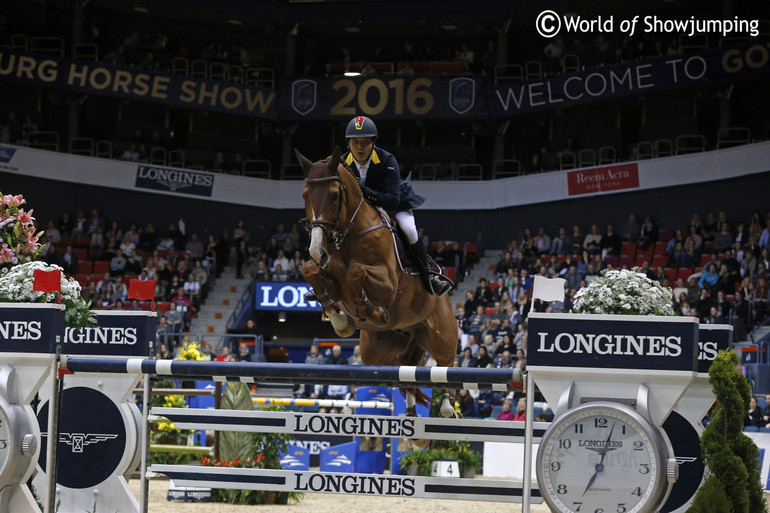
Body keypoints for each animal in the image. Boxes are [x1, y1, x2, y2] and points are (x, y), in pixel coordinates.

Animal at [296, 147, 456, 424]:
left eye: (334, 195)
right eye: (305, 195)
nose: (316, 250)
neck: (347, 234)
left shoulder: (389, 283)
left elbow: (356, 272)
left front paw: (371, 311)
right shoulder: (327, 272)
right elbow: (310, 271)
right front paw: (341, 319)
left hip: (442, 335)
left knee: (445, 362)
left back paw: (446, 406)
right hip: (379, 351)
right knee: (405, 368)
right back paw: (411, 411)